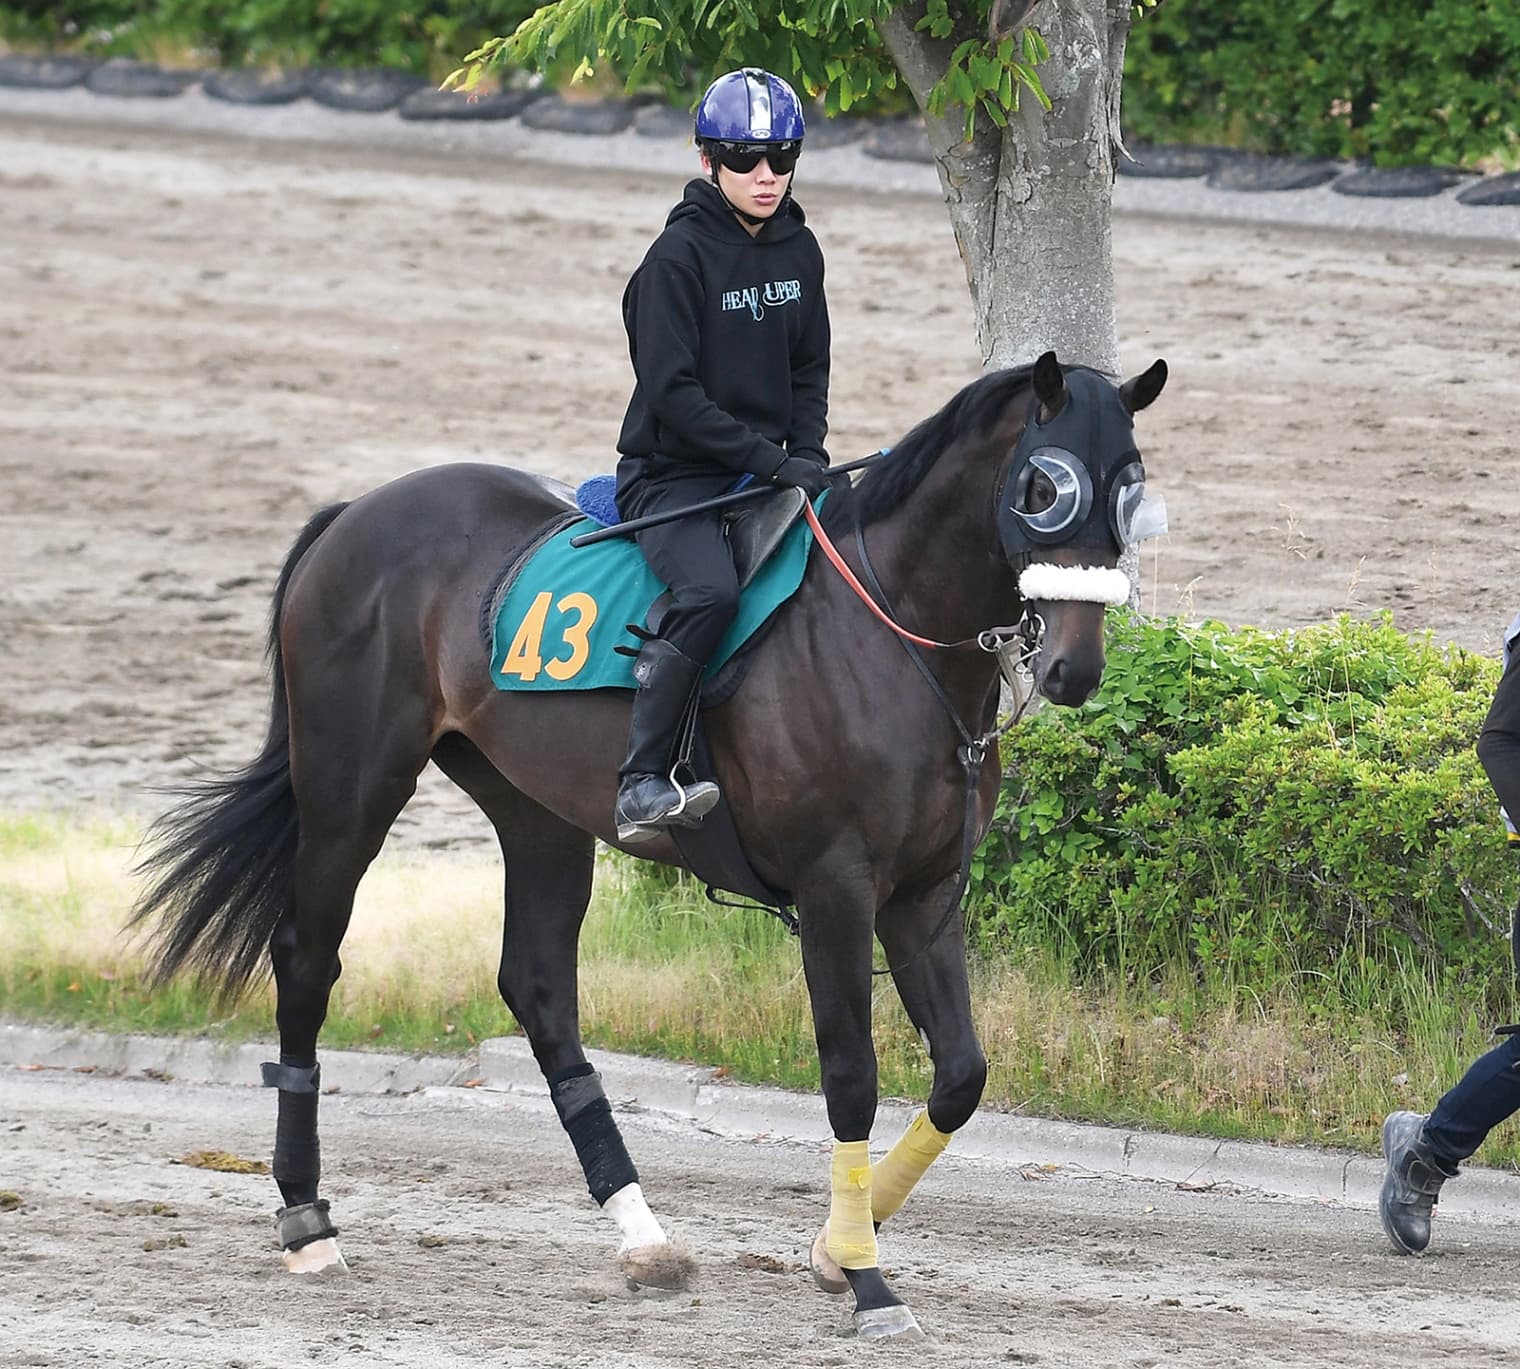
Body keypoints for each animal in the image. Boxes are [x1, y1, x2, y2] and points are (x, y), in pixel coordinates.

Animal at [132, 349, 1167, 1342]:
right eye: (1045, 486)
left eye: (1130, 486)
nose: (1075, 667)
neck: (889, 637)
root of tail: (357, 513)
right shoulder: (835, 887)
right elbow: (851, 1078)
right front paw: (869, 1281)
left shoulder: (921, 893)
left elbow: (960, 1076)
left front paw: (836, 1251)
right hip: (353, 792)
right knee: (308, 961)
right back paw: (307, 1222)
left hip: (535, 812)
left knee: (541, 993)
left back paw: (645, 1237)